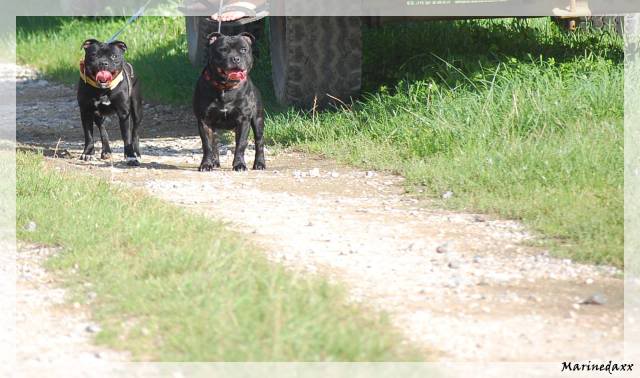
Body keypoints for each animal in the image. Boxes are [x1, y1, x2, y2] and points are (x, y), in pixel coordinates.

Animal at [191, 32, 264, 171]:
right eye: (223, 50)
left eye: (243, 50)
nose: (235, 58)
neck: (225, 88)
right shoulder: (204, 121)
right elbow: (207, 144)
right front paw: (206, 164)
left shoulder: (243, 120)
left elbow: (241, 144)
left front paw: (239, 164)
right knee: (214, 142)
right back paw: (214, 162)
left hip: (257, 120)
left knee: (259, 142)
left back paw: (260, 163)